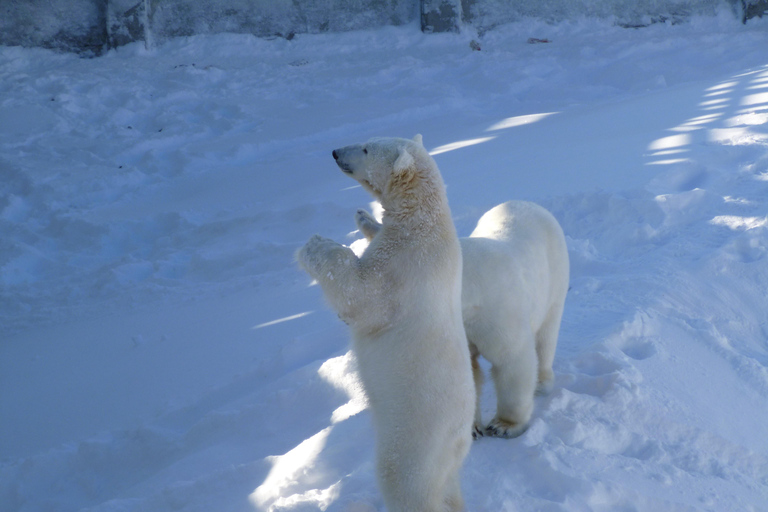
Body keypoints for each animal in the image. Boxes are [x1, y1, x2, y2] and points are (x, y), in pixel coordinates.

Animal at [298, 135, 474, 512]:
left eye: (365, 149)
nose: (335, 152)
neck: (424, 220)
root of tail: (459, 437)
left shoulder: (404, 266)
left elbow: (362, 297)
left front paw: (316, 244)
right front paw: (364, 217)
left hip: (416, 434)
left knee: (403, 481)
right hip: (444, 456)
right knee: (449, 487)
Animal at [356, 178, 568, 438]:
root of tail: (531, 204)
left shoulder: (496, 312)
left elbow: (512, 359)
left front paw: (504, 425)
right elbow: (468, 369)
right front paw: (472, 429)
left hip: (555, 275)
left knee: (546, 334)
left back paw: (542, 382)